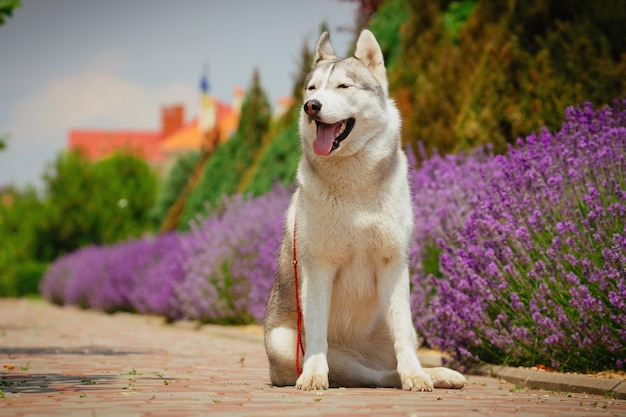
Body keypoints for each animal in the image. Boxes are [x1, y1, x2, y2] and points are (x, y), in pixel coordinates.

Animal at [260, 29, 466, 390]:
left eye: (343, 86)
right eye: (312, 88)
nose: (311, 106)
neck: (354, 188)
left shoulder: (393, 263)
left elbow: (403, 336)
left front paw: (416, 375)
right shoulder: (319, 268)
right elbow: (316, 335)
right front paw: (313, 375)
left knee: (393, 359)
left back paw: (432, 374)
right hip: (288, 344)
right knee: (373, 375)